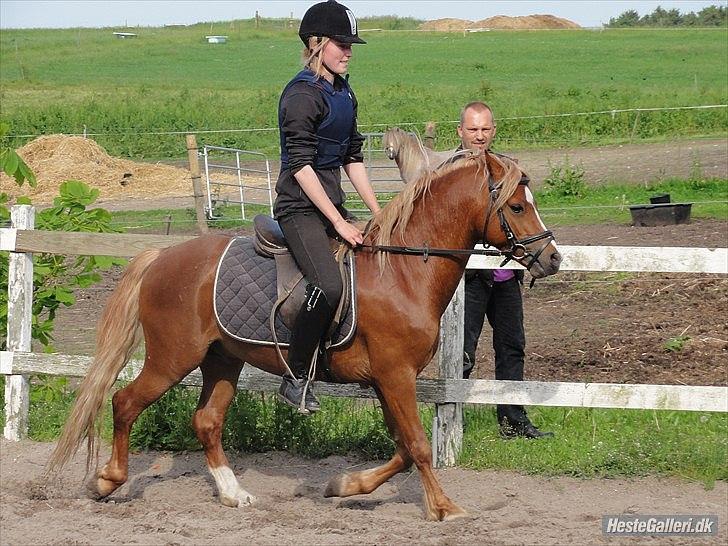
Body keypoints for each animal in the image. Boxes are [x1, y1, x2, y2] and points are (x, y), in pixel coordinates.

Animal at [48, 149, 560, 520]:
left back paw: (233, 493)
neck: (401, 270)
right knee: (124, 403)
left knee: (206, 421)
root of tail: (162, 257)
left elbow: (400, 447)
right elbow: (416, 445)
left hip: (222, 359)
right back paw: (108, 480)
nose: (552, 258)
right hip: (173, 358)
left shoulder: (384, 380)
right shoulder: (396, 375)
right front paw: (444, 507)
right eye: (517, 206)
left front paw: (345, 485)